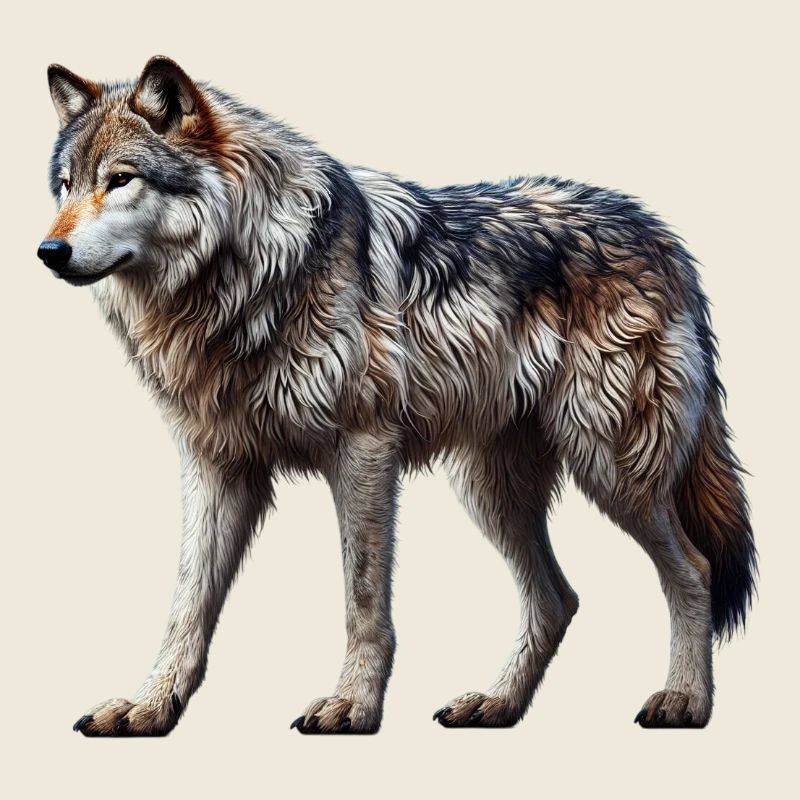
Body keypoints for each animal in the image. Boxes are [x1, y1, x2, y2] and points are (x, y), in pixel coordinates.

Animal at [39, 56, 756, 736]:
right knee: (558, 599)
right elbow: (186, 603)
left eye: (120, 179)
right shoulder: (217, 465)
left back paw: (685, 701)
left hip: (611, 466)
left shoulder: (363, 450)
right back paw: (496, 704)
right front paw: (149, 707)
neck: (242, 278)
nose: (49, 250)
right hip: (492, 490)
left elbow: (362, 599)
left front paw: (352, 706)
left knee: (693, 570)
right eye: (67, 186)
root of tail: (664, 239)